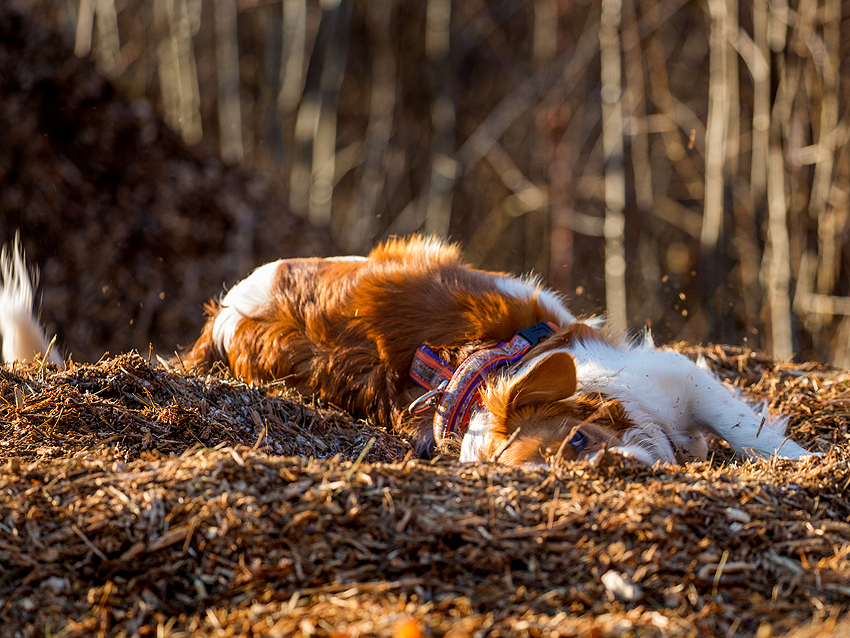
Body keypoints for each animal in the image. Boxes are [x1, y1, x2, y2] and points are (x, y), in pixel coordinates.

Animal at [1, 238, 808, 468]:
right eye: (554, 474)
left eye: (581, 441)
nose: (613, 473)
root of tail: (223, 319)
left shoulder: (679, 379)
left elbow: (750, 430)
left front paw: (802, 461)